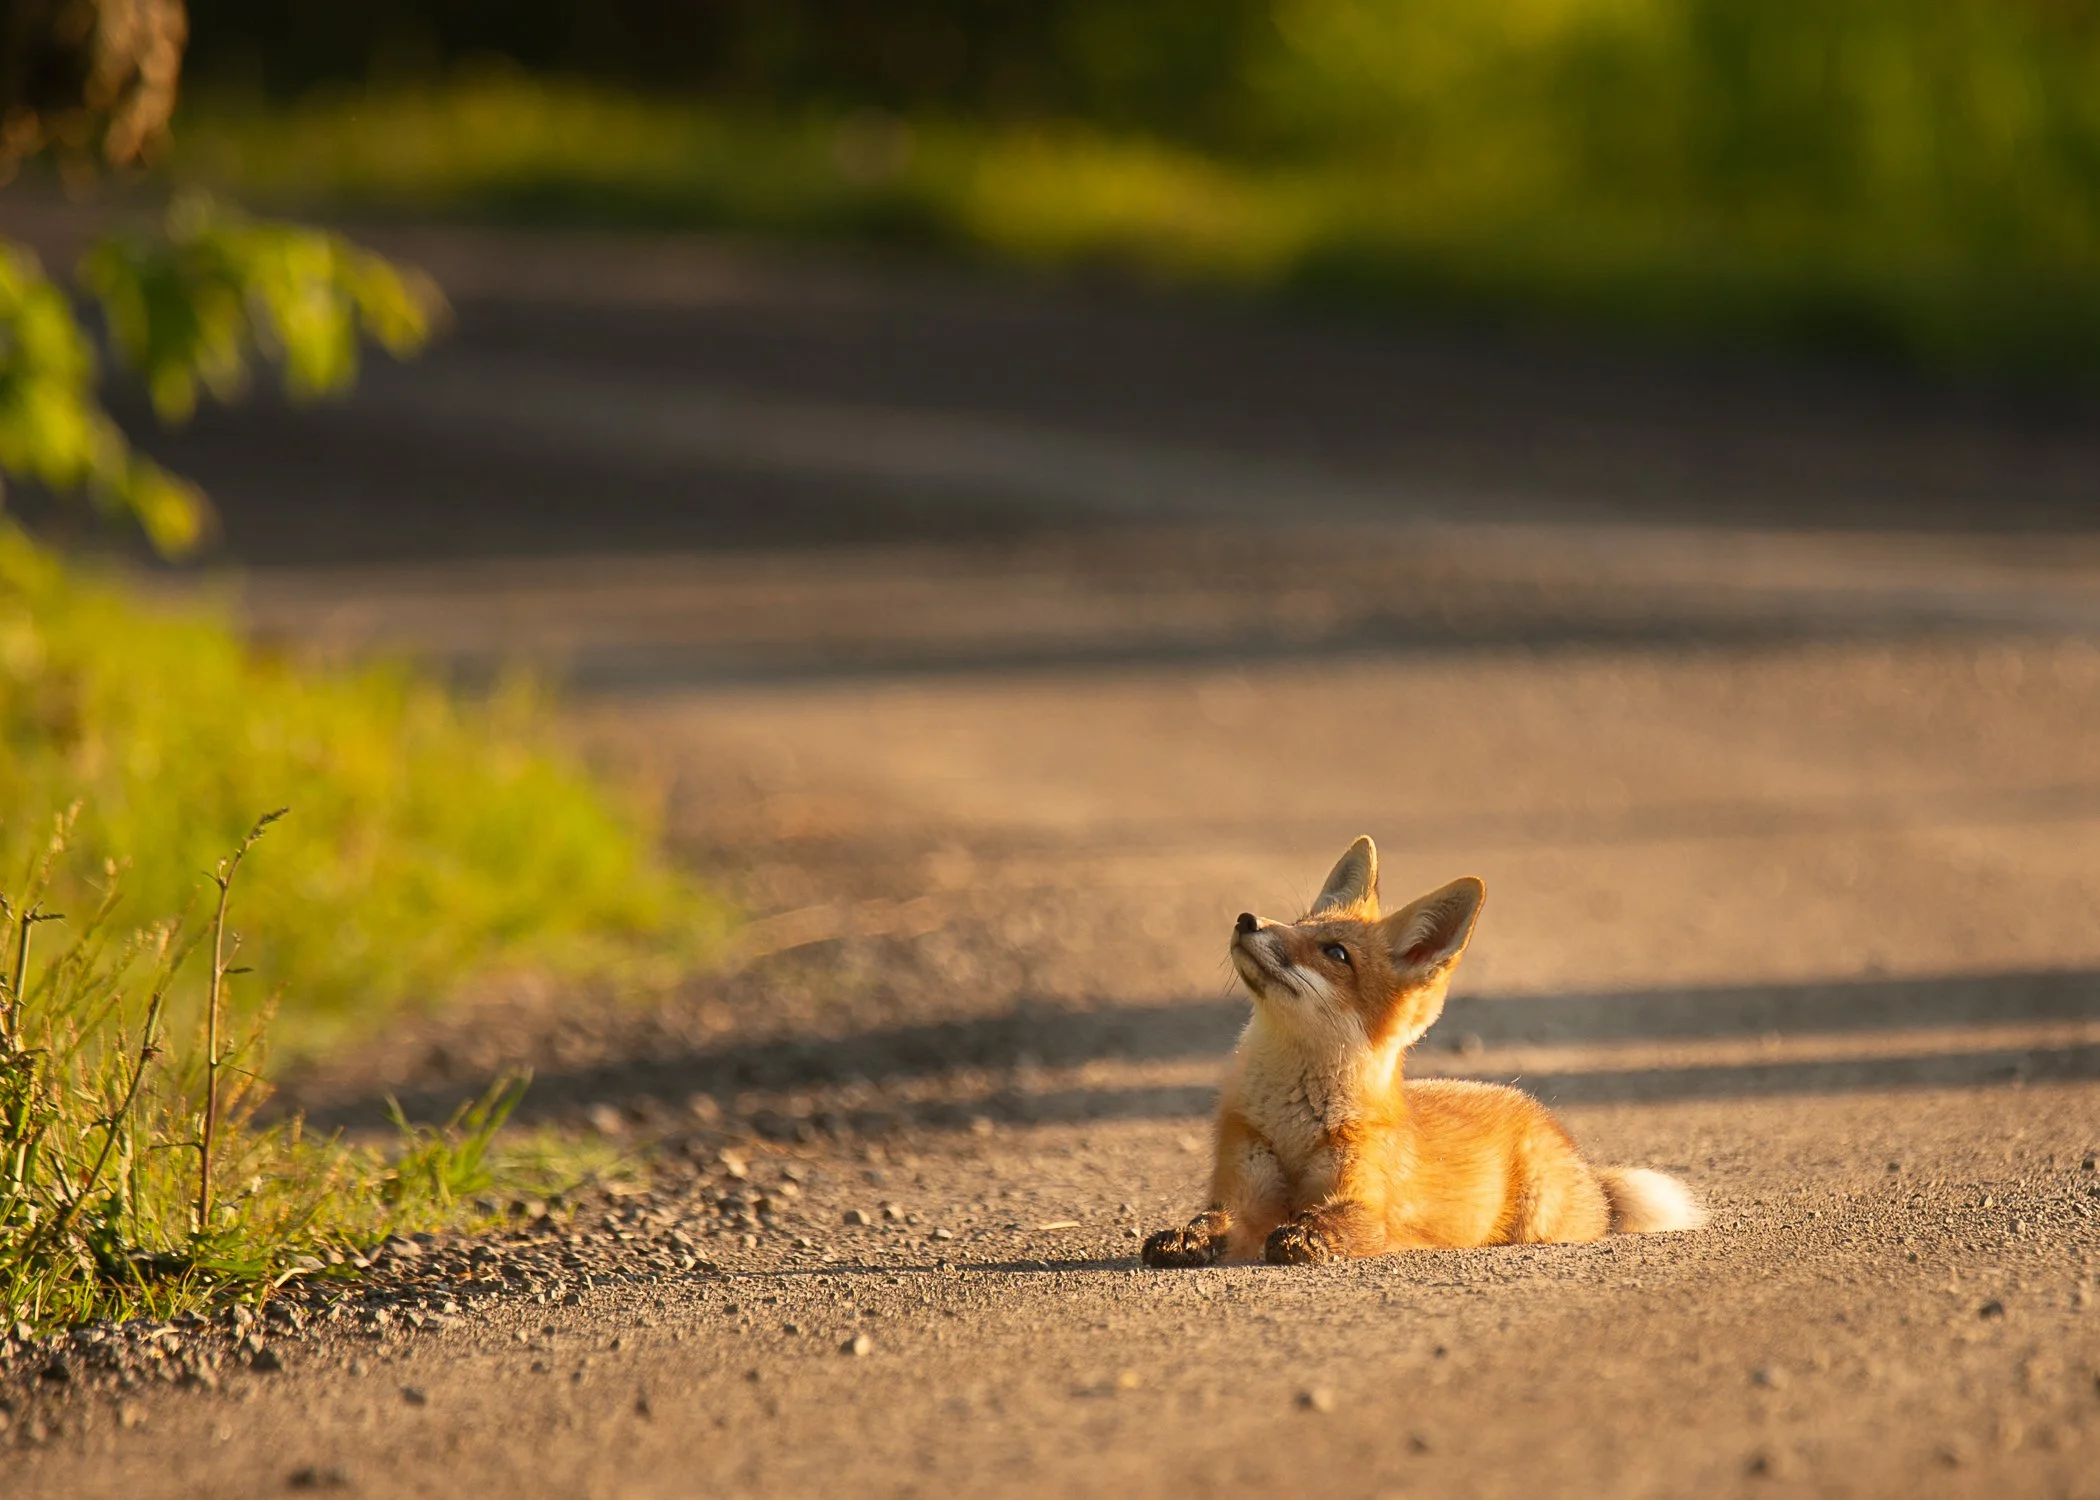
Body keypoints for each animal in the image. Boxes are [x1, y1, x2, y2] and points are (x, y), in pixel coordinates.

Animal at [1143, 836, 1704, 1267]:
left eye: (1335, 953)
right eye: (1299, 923)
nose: (1247, 920)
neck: (1294, 1127)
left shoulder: (1362, 1196)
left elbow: (1333, 1222)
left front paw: (1302, 1235)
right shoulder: (1242, 1186)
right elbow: (1212, 1219)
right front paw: (1183, 1238)